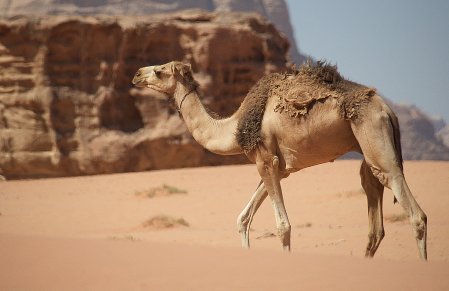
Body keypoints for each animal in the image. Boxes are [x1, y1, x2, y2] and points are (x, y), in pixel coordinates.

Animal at [132, 61, 428, 260]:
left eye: (159, 71)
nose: (136, 74)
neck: (232, 128)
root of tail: (388, 111)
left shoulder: (265, 160)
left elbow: (282, 225)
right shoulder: (278, 166)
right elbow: (243, 218)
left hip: (375, 138)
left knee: (414, 212)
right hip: (366, 151)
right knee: (374, 218)